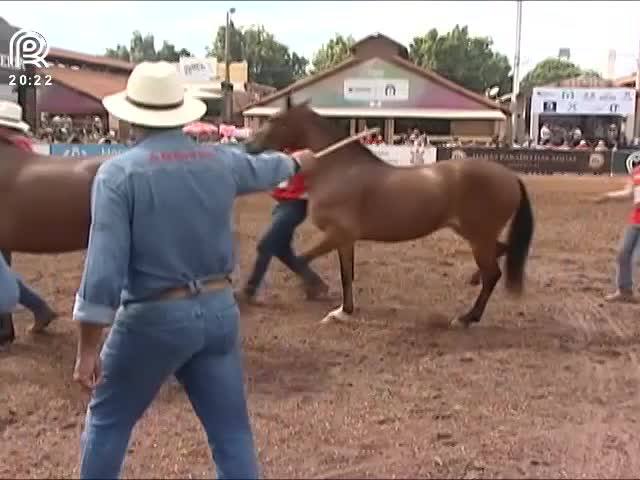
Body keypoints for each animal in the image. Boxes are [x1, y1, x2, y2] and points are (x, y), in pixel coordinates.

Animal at [245, 99, 536, 328]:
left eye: (273, 120)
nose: (248, 146)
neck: (338, 169)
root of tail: (510, 177)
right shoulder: (345, 240)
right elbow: (346, 275)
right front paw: (343, 311)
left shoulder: (337, 234)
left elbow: (302, 259)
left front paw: (314, 289)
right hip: (473, 234)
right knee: (501, 253)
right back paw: (473, 282)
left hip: (478, 237)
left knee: (493, 274)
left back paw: (467, 317)